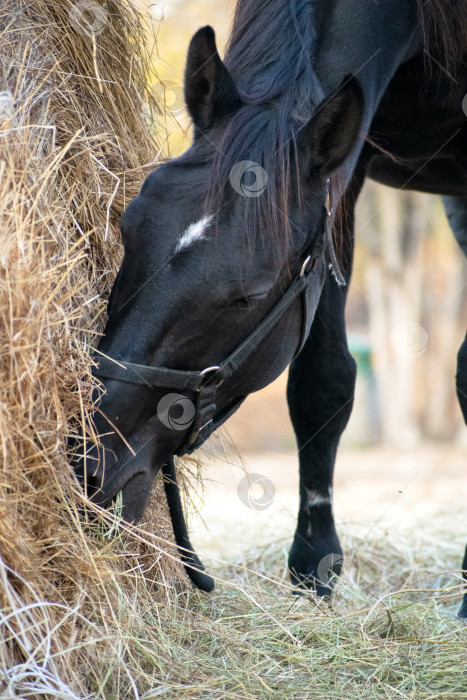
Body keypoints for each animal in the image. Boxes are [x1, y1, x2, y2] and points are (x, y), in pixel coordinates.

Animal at [72, 0, 467, 612]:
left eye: (249, 295)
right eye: (129, 228)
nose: (88, 459)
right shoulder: (343, 172)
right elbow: (322, 381)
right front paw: (315, 566)